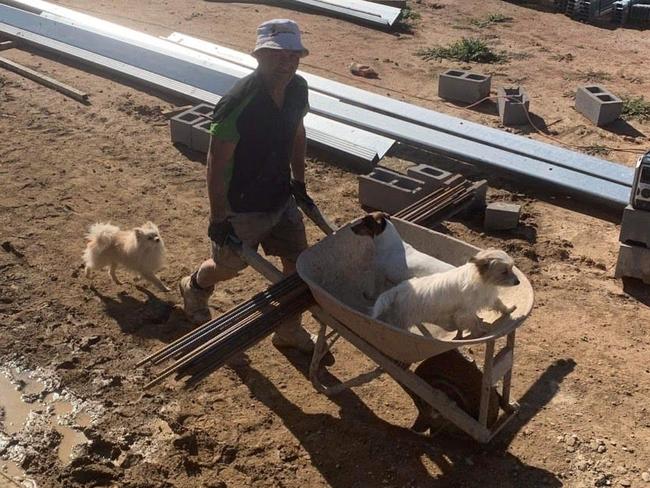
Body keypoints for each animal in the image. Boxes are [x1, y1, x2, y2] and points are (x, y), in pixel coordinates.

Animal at [372, 250, 520, 338]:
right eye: (504, 272)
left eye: (512, 268)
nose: (518, 282)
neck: (484, 282)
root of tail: (398, 289)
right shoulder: (464, 313)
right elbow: (472, 322)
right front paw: (478, 332)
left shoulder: (490, 298)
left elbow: (499, 304)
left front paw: (508, 310)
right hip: (403, 319)